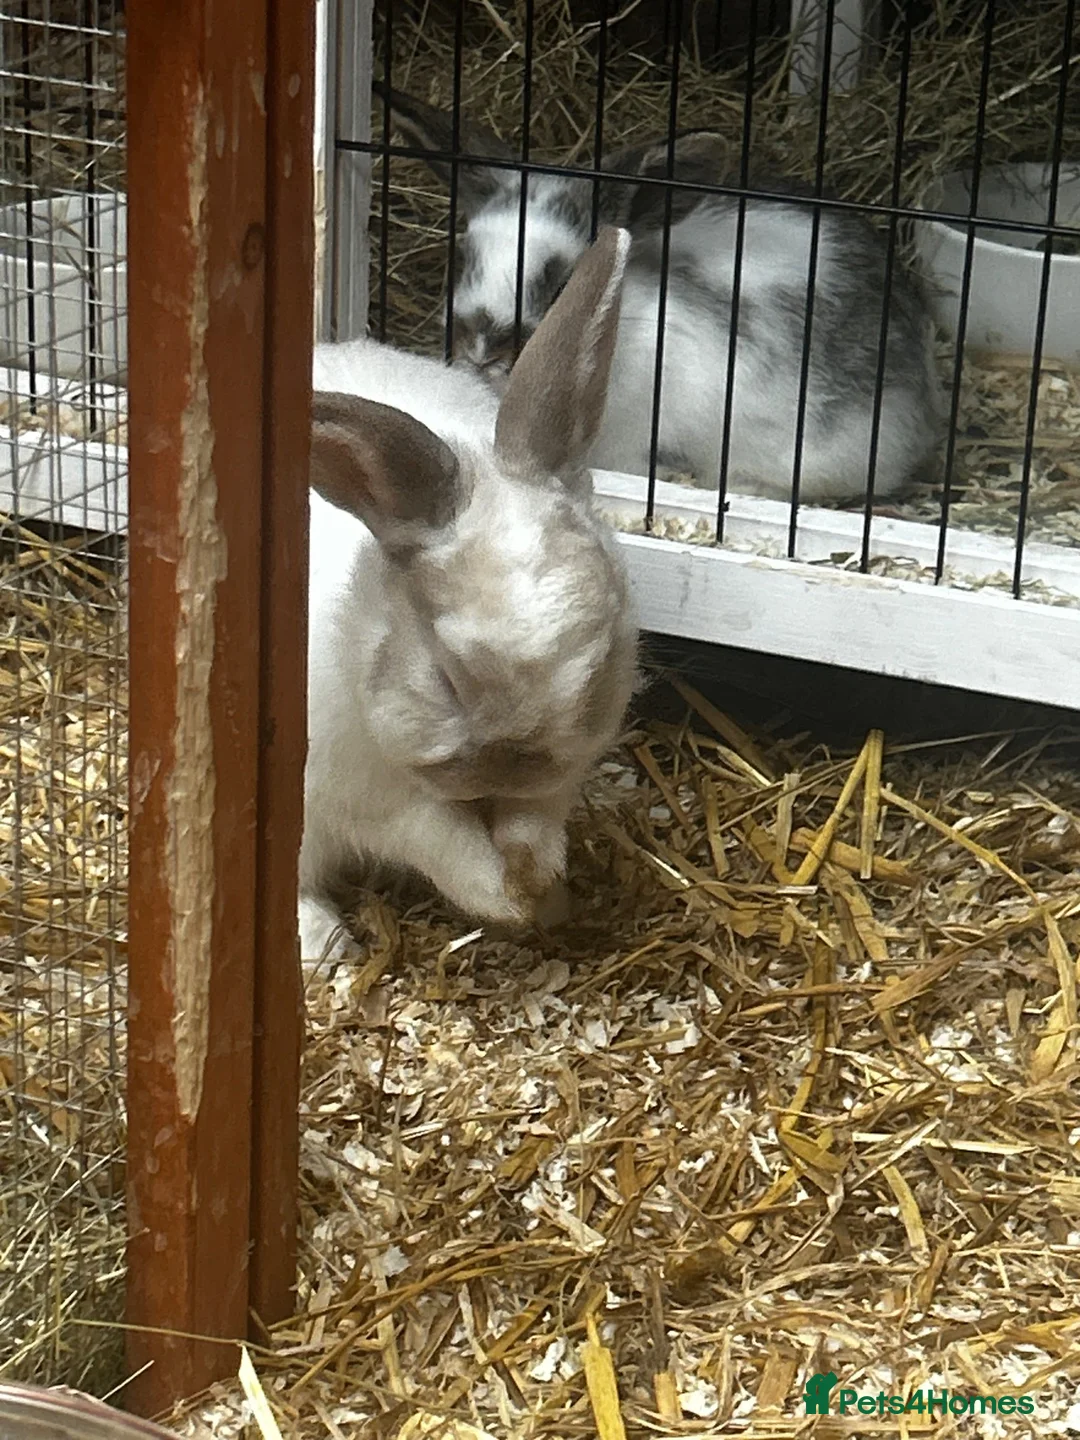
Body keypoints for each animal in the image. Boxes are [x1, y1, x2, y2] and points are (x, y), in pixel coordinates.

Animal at [299, 227, 639, 962]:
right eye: (446, 680)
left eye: (596, 671)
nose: (509, 769)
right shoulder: (375, 797)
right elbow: (440, 842)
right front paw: (503, 895)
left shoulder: (563, 772)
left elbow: (536, 820)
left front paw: (539, 882)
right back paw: (322, 944)